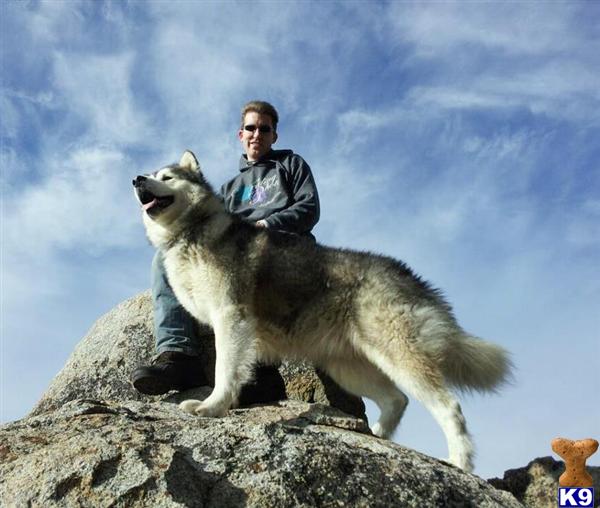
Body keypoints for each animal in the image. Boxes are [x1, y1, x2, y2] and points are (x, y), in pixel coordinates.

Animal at [134, 151, 512, 472]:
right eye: (151, 173)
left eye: (167, 176)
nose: (137, 179)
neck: (191, 232)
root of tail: (407, 273)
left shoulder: (231, 318)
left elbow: (224, 371)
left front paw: (211, 407)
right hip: (348, 366)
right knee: (397, 399)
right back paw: (377, 435)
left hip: (399, 355)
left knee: (449, 407)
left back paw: (460, 462)